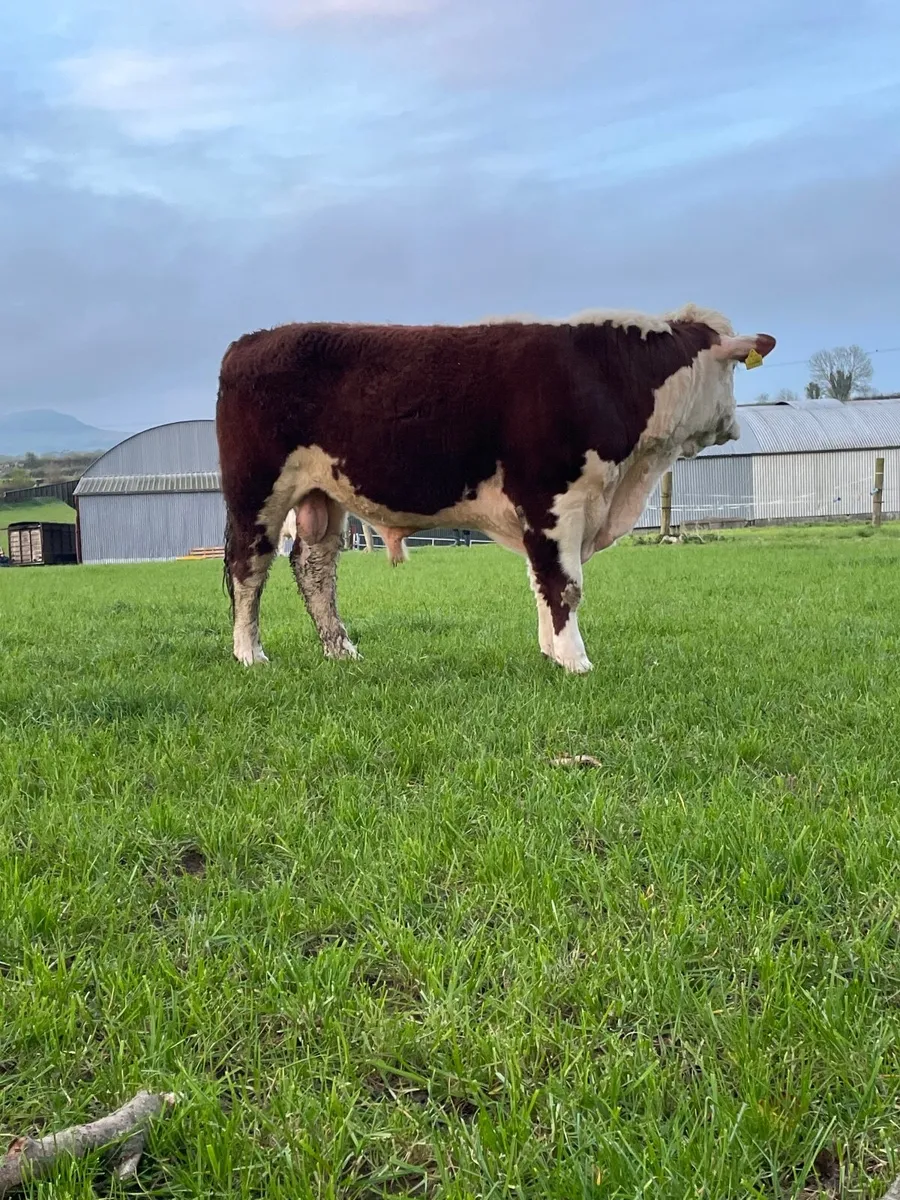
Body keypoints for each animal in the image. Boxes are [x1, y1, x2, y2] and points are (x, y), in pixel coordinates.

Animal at [216, 305, 775, 673]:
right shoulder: (555, 498)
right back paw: (250, 654)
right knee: (249, 567)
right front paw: (575, 660)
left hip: (323, 495)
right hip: (257, 490)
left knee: (314, 568)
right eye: (732, 369)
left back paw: (341, 650)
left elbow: (540, 579)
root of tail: (250, 340)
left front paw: (550, 652)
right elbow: (563, 583)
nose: (734, 425)